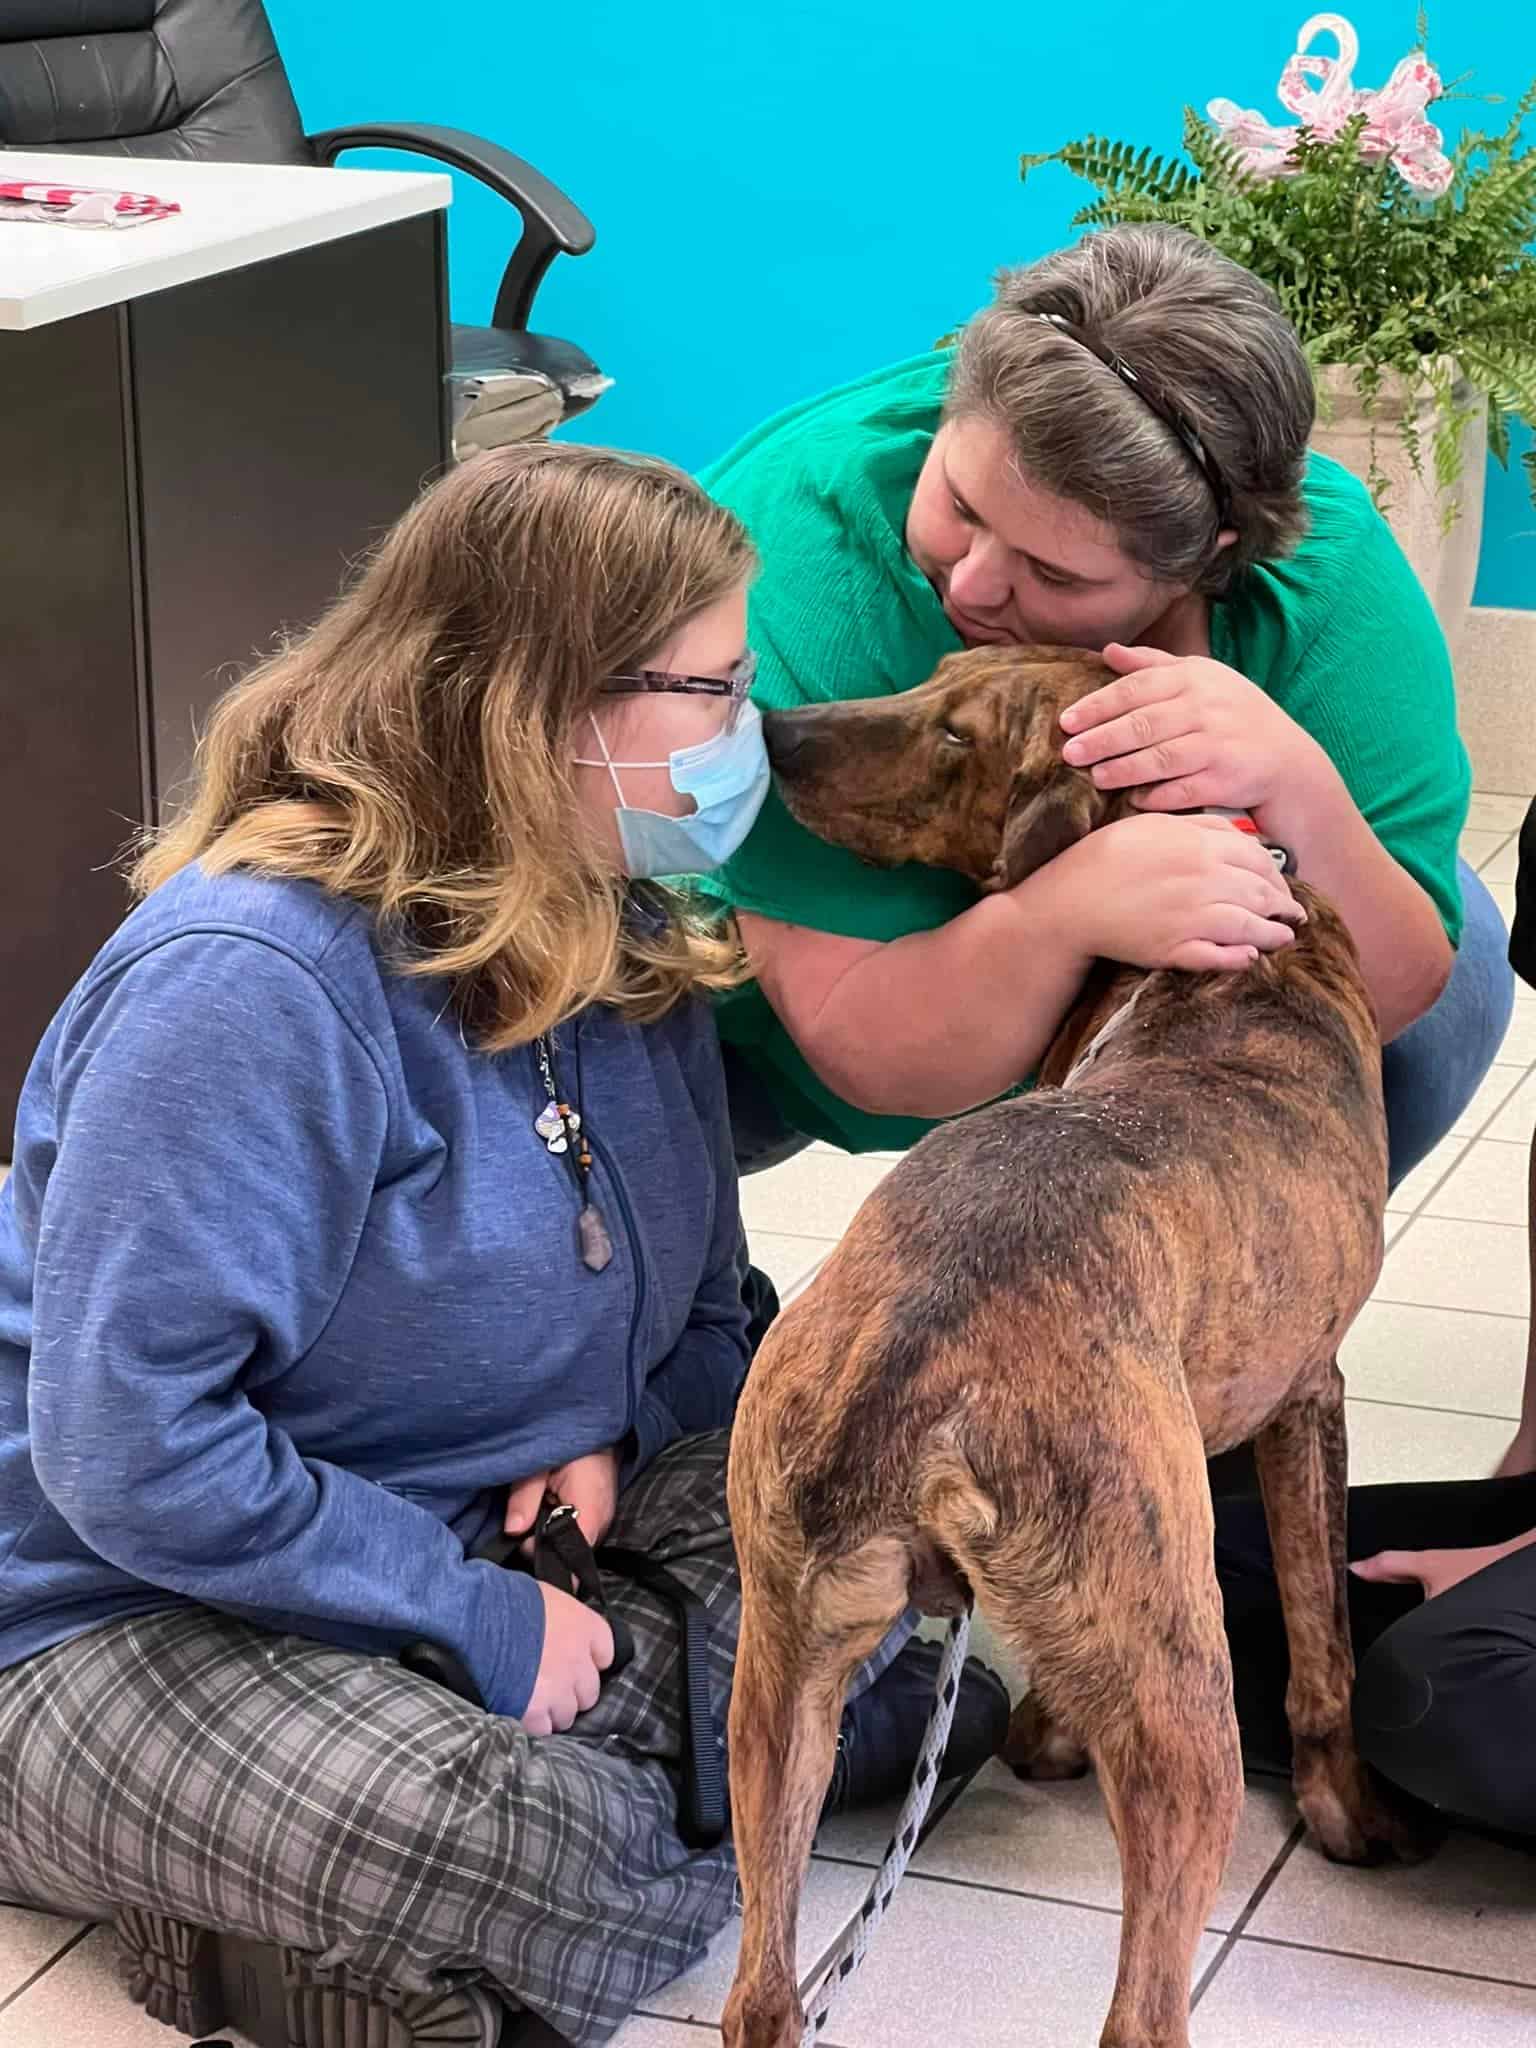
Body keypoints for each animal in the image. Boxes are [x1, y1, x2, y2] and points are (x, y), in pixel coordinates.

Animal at [729, 651, 1425, 2048]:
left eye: (952, 719)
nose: (778, 728)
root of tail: (911, 1352)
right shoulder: (1305, 1396)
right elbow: (1322, 1629)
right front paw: (1347, 1808)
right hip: (1180, 1694)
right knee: (1142, 2010)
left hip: (778, 1671)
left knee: (761, 1998)